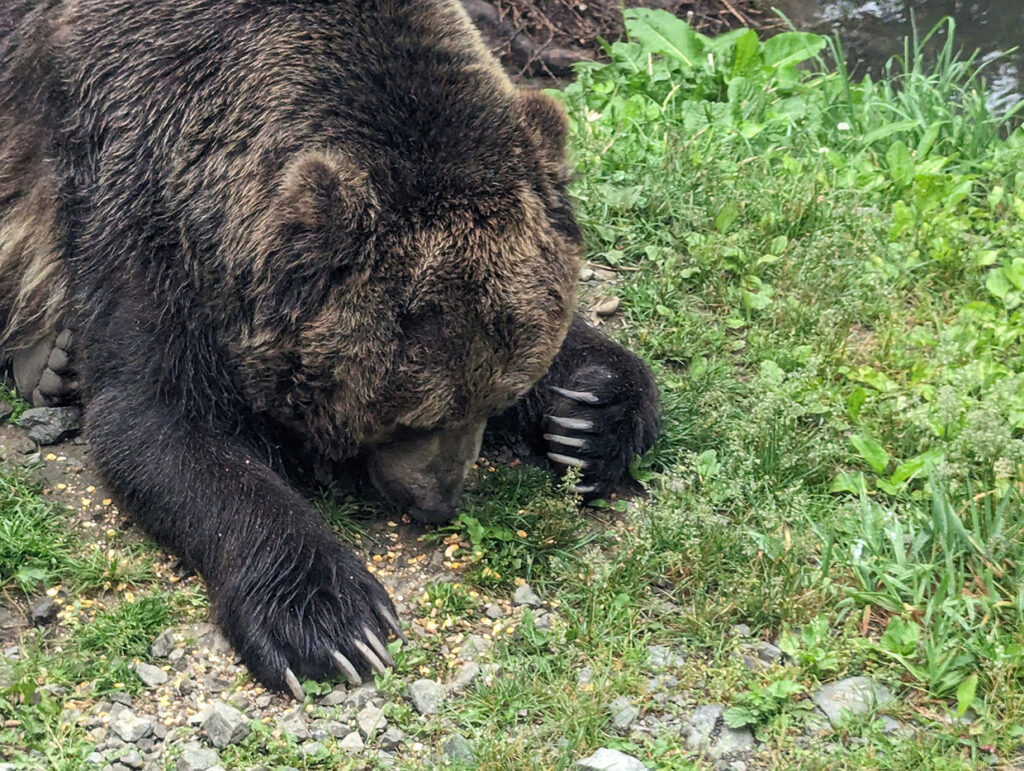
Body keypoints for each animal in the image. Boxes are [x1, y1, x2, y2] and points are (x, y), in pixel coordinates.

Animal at [0, 0, 655, 696]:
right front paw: (333, 621)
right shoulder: (138, 196)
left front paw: (589, 415)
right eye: (409, 416)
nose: (437, 502)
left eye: (497, 397)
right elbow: (156, 420)